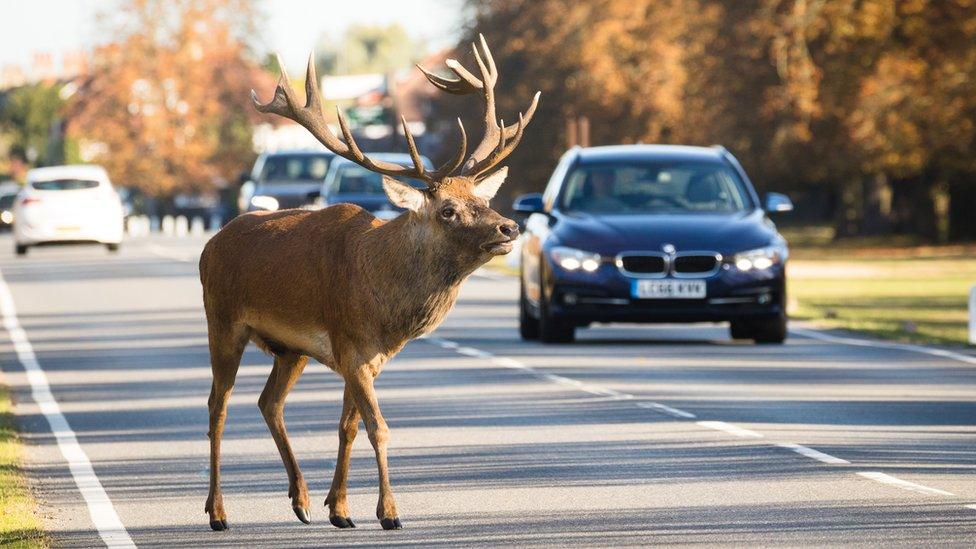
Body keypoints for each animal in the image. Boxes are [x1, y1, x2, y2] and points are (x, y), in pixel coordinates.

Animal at [199, 35, 540, 532]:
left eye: (481, 198)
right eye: (448, 210)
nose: (510, 227)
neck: (387, 310)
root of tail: (210, 245)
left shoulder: (362, 357)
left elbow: (349, 426)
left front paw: (339, 509)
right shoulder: (352, 348)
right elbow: (379, 427)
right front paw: (389, 512)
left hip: (290, 349)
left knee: (269, 403)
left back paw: (300, 500)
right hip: (223, 322)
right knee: (218, 407)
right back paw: (218, 511)